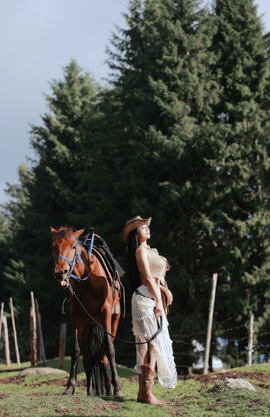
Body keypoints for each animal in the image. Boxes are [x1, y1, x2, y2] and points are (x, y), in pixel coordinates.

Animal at [50, 226, 124, 394]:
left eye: (73, 246)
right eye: (53, 246)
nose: (60, 272)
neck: (89, 281)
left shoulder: (106, 314)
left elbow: (110, 350)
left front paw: (117, 388)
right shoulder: (76, 317)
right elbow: (76, 351)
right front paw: (70, 387)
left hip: (113, 322)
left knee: (103, 355)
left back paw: (110, 388)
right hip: (87, 327)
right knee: (89, 359)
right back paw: (92, 391)